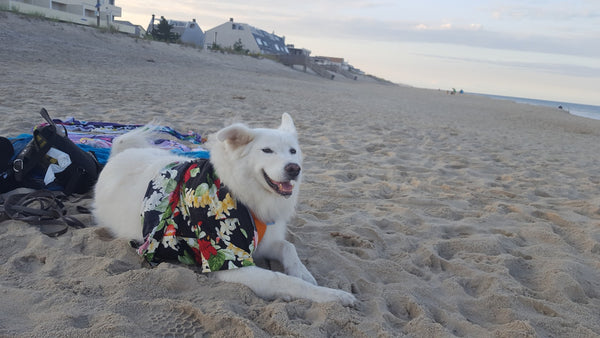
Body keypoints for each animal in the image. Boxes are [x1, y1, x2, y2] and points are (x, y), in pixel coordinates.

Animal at [94, 114, 356, 306]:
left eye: (293, 151)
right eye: (267, 150)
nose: (294, 169)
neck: (242, 192)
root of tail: (117, 156)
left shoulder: (264, 242)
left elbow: (288, 247)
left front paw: (304, 272)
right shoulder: (229, 260)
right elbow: (283, 280)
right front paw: (334, 295)